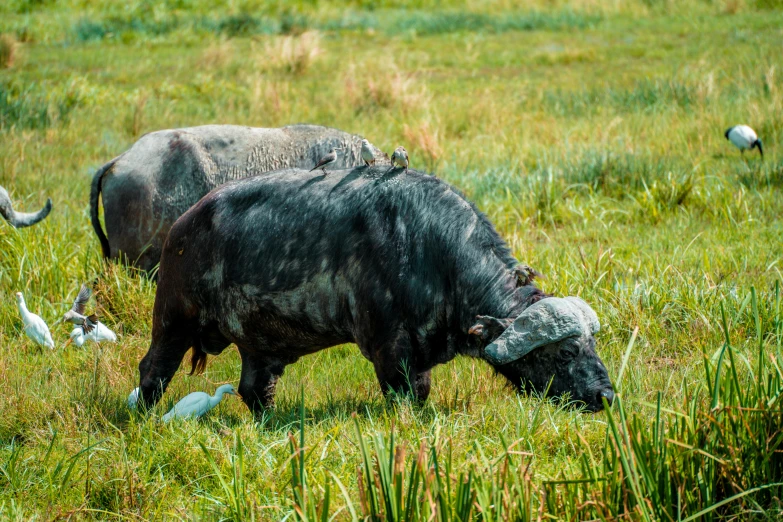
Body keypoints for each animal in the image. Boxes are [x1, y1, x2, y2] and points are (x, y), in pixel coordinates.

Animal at [139, 167, 620, 414]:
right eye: (566, 351)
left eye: (593, 344)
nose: (606, 395)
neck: (429, 248)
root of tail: (183, 225)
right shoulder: (391, 349)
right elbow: (409, 392)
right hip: (173, 320)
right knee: (154, 369)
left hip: (257, 348)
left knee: (255, 389)